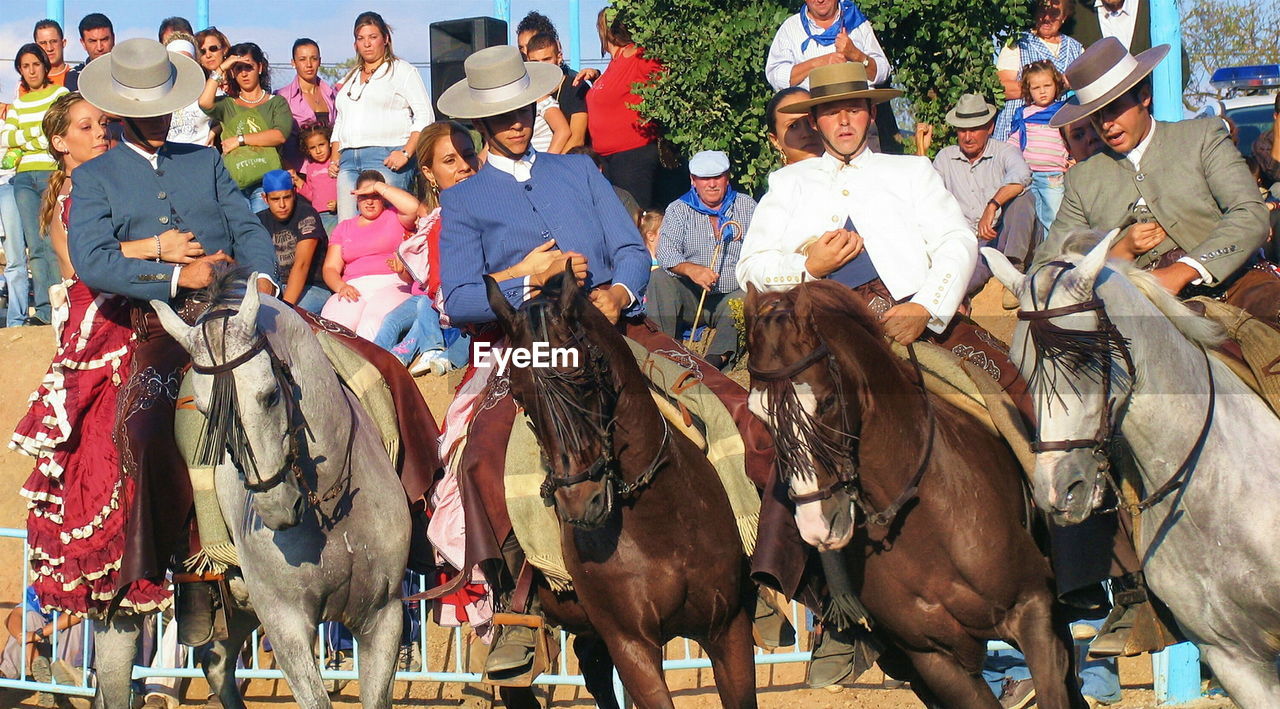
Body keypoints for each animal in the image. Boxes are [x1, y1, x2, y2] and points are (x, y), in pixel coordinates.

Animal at [91, 271, 409, 706]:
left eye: (270, 395)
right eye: (202, 411)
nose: (276, 508)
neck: (333, 512)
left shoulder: (384, 614)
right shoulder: (285, 622)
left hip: (239, 608)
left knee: (215, 662)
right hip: (121, 610)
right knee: (116, 673)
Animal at [481, 267, 757, 701]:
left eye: (581, 376)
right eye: (519, 396)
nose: (581, 504)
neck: (662, 520)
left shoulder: (728, 628)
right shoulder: (632, 646)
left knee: (591, 664)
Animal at [747, 281, 1085, 706]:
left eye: (826, 402)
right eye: (758, 415)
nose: (817, 525)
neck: (925, 526)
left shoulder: (1034, 610)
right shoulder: (933, 658)